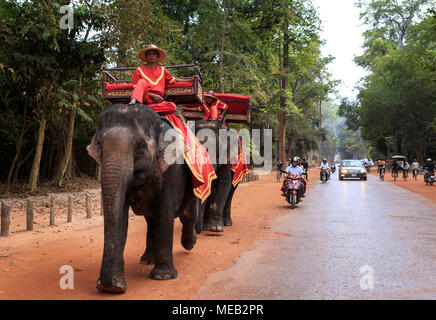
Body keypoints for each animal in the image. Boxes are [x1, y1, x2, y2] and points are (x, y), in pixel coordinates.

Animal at [87, 104, 199, 292]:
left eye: (140, 147)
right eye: (99, 144)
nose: (107, 285)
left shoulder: (172, 169)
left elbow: (165, 212)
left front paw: (163, 277)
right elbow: (121, 216)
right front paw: (115, 287)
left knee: (188, 214)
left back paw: (189, 243)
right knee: (152, 220)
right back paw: (147, 260)